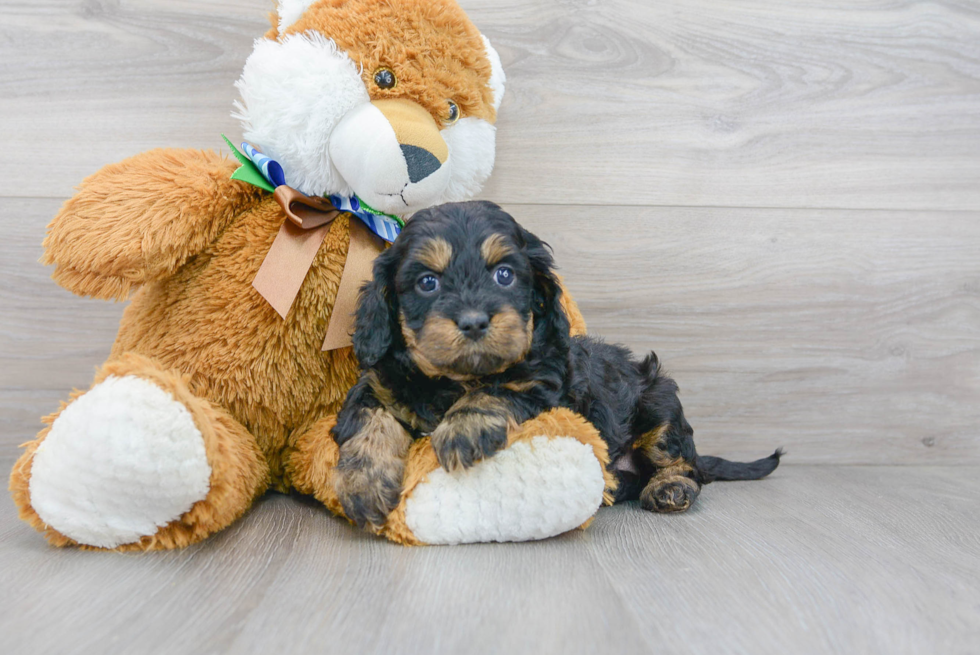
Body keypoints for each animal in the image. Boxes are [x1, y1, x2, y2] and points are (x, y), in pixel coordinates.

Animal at [334, 201, 780, 532]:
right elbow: (368, 418)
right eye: (428, 282)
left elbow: (498, 388)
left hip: (660, 402)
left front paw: (463, 428)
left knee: (685, 463)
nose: (474, 321)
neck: (454, 379)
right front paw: (363, 484)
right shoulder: (377, 383)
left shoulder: (545, 382)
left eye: (504, 275)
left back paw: (670, 487)